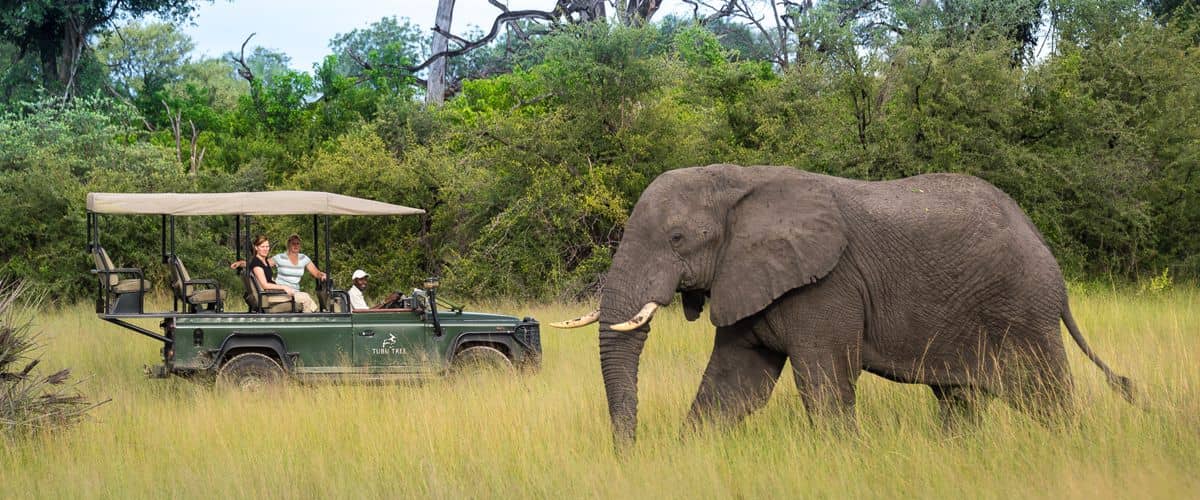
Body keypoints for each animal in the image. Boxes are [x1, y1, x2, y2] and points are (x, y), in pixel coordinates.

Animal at [553, 164, 1134, 450]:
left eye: (676, 238)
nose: (629, 453)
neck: (738, 182)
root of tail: (1046, 253)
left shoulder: (827, 287)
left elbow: (824, 385)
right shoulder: (751, 276)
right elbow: (733, 386)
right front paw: (685, 460)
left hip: (1020, 308)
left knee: (1045, 395)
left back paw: (1072, 448)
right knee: (960, 399)